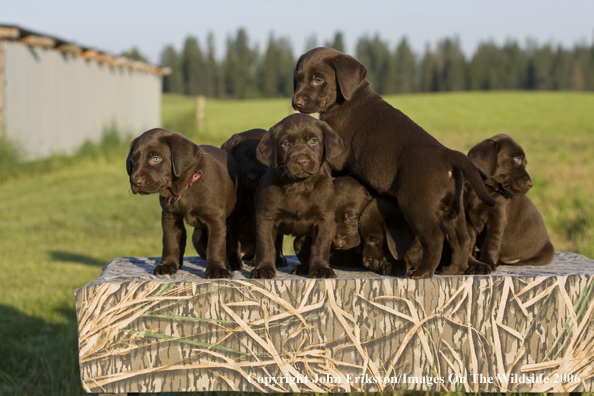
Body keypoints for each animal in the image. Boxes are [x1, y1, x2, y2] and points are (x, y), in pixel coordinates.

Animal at [126, 128, 240, 276]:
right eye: (133, 161)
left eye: (156, 159)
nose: (135, 182)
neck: (183, 188)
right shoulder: (170, 217)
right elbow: (170, 242)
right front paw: (167, 265)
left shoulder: (215, 219)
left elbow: (215, 245)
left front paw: (217, 269)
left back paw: (230, 263)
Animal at [250, 113, 342, 276]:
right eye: (286, 143)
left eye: (313, 141)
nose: (302, 161)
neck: (299, 185)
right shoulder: (266, 217)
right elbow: (265, 244)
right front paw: (263, 268)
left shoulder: (325, 219)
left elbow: (320, 246)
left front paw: (321, 269)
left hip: (300, 241)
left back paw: (302, 268)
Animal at [292, 48, 494, 278]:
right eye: (297, 80)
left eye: (318, 80)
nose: (296, 103)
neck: (348, 99)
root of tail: (448, 154)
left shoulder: (336, 157)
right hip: (451, 209)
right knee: (461, 238)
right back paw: (453, 269)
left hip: (415, 203)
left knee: (435, 236)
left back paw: (423, 272)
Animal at [460, 135, 552, 274]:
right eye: (517, 159)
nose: (531, 184)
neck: (484, 188)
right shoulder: (468, 219)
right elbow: (470, 242)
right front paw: (472, 262)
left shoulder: (497, 219)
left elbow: (491, 243)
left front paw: (487, 262)